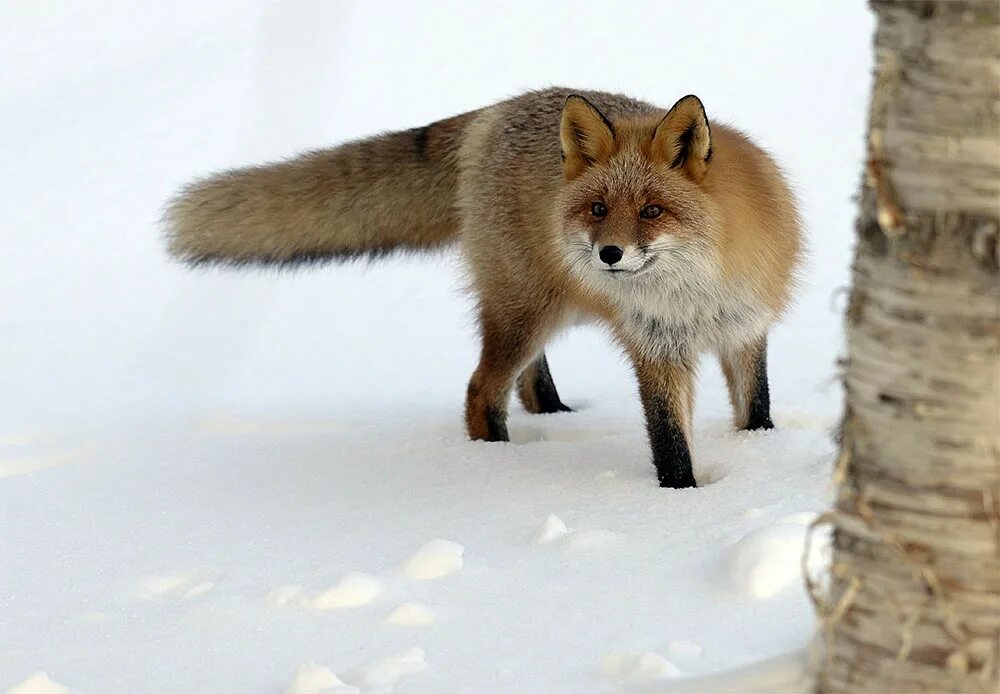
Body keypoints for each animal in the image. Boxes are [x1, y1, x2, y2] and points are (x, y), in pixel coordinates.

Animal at [166, 87, 804, 490]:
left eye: (652, 210)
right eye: (598, 209)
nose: (609, 254)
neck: (695, 293)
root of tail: (493, 113)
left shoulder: (745, 330)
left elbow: (756, 409)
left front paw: (759, 455)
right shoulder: (656, 347)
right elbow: (669, 441)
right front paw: (682, 501)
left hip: (549, 310)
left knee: (525, 382)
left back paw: (555, 416)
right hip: (524, 311)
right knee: (481, 390)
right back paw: (494, 465)